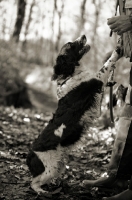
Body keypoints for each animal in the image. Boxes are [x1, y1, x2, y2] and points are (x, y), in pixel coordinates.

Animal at [26, 34, 121, 194]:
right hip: (50, 168)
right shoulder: (96, 82)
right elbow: (105, 66)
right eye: (70, 45)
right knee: (33, 183)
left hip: (59, 165)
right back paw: (42, 192)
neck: (70, 75)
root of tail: (31, 154)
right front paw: (116, 52)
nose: (83, 35)